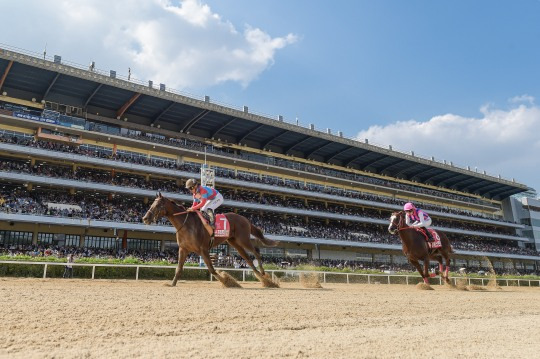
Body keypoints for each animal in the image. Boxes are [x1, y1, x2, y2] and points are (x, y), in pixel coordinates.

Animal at [141, 193, 280, 288]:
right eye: (151, 204)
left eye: (158, 205)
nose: (145, 218)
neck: (186, 224)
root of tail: (245, 219)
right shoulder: (183, 249)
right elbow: (179, 268)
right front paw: (172, 284)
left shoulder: (203, 249)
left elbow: (212, 269)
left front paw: (227, 282)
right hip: (234, 242)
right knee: (248, 259)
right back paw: (265, 280)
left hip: (243, 239)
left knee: (256, 251)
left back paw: (264, 274)